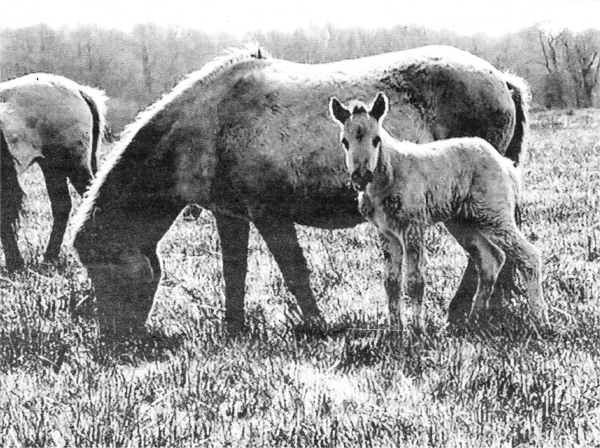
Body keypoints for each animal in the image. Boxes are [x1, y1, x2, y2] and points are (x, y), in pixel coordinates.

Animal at [0, 73, 106, 270]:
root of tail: (79, 90)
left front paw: (15, 262)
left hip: (73, 163)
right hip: (52, 167)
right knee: (62, 206)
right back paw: (49, 256)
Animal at [328, 92, 548, 328]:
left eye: (376, 139)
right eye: (345, 142)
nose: (361, 177)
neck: (388, 176)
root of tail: (506, 163)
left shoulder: (413, 226)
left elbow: (415, 280)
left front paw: (417, 330)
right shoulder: (386, 232)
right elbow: (391, 282)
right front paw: (395, 330)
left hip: (495, 215)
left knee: (529, 256)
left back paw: (539, 319)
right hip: (464, 221)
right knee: (490, 260)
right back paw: (475, 318)